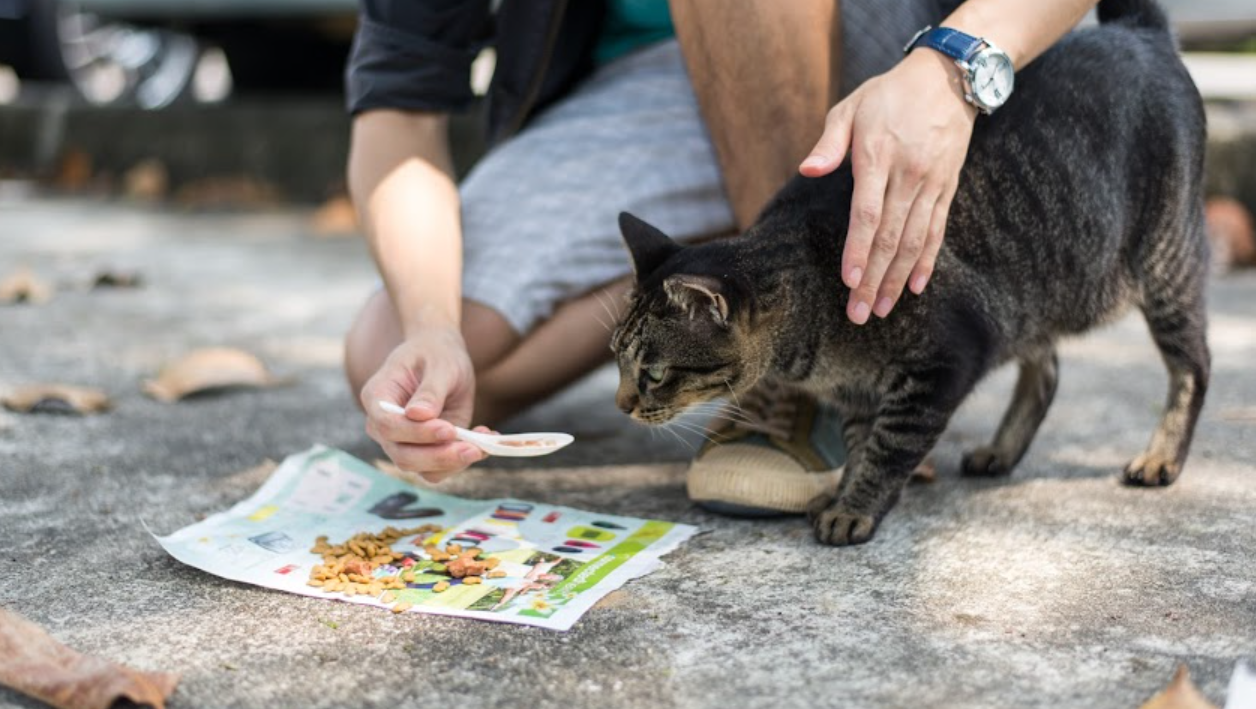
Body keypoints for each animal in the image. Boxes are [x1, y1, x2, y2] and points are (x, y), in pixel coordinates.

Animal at [612, 0, 1210, 545]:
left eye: (655, 373)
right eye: (618, 360)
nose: (622, 405)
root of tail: (1137, 31)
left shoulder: (944, 361)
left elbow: (889, 447)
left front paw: (855, 509)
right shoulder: (859, 394)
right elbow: (860, 444)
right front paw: (843, 492)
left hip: (1166, 261)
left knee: (1192, 366)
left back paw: (1160, 457)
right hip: (1030, 294)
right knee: (1046, 367)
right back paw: (1001, 450)